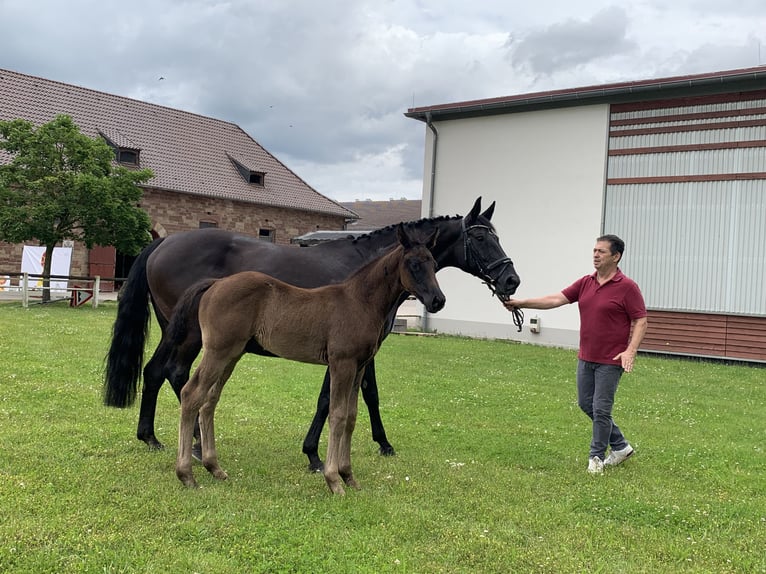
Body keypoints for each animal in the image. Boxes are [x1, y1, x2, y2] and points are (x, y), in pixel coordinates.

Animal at [103, 198, 520, 472]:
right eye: (480, 239)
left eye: (497, 236)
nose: (511, 280)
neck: (367, 271)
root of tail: (162, 242)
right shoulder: (346, 352)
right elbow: (336, 399)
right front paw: (317, 455)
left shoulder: (361, 352)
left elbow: (363, 396)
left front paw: (376, 444)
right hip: (191, 336)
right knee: (176, 375)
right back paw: (190, 442)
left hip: (176, 331)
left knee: (156, 372)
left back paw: (155, 437)